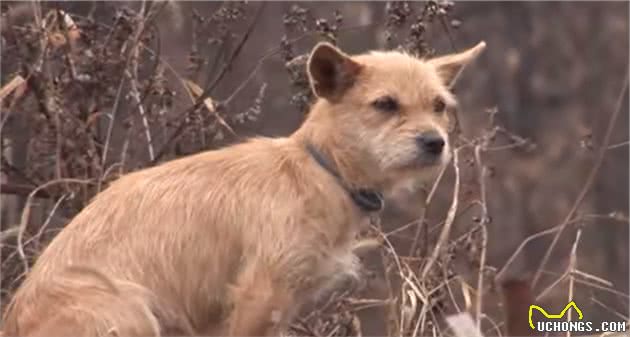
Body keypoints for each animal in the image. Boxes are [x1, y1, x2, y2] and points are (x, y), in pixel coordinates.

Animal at [0, 40, 486, 334]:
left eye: (439, 105)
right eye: (385, 104)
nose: (435, 143)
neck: (318, 172)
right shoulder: (260, 294)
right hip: (132, 312)